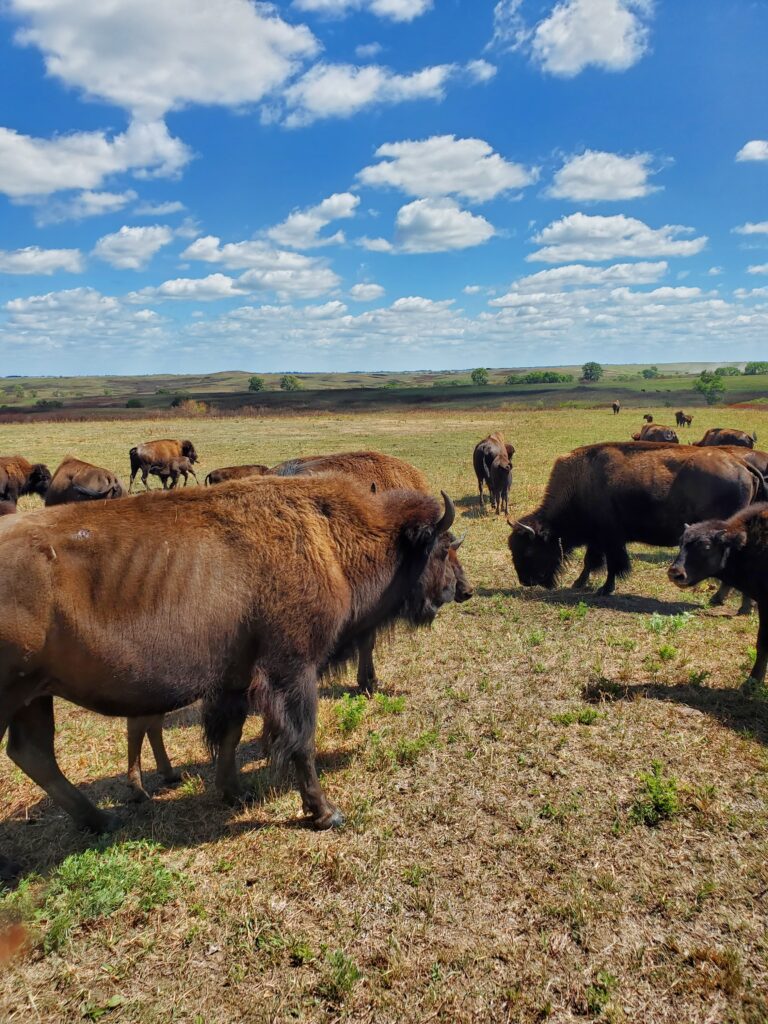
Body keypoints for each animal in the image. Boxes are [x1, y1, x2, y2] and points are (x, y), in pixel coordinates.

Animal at [0, 471, 466, 839]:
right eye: (442, 548)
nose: (457, 590)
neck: (328, 540)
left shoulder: (236, 679)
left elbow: (231, 733)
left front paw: (233, 792)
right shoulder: (292, 671)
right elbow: (302, 739)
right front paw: (325, 813)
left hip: (35, 696)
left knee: (33, 753)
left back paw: (101, 821)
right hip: (17, 696)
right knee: (33, 753)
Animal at [507, 442, 765, 598]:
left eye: (528, 550)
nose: (526, 581)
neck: (580, 483)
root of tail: (741, 465)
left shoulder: (610, 539)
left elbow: (613, 564)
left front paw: (605, 589)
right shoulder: (597, 539)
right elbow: (591, 562)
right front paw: (579, 583)